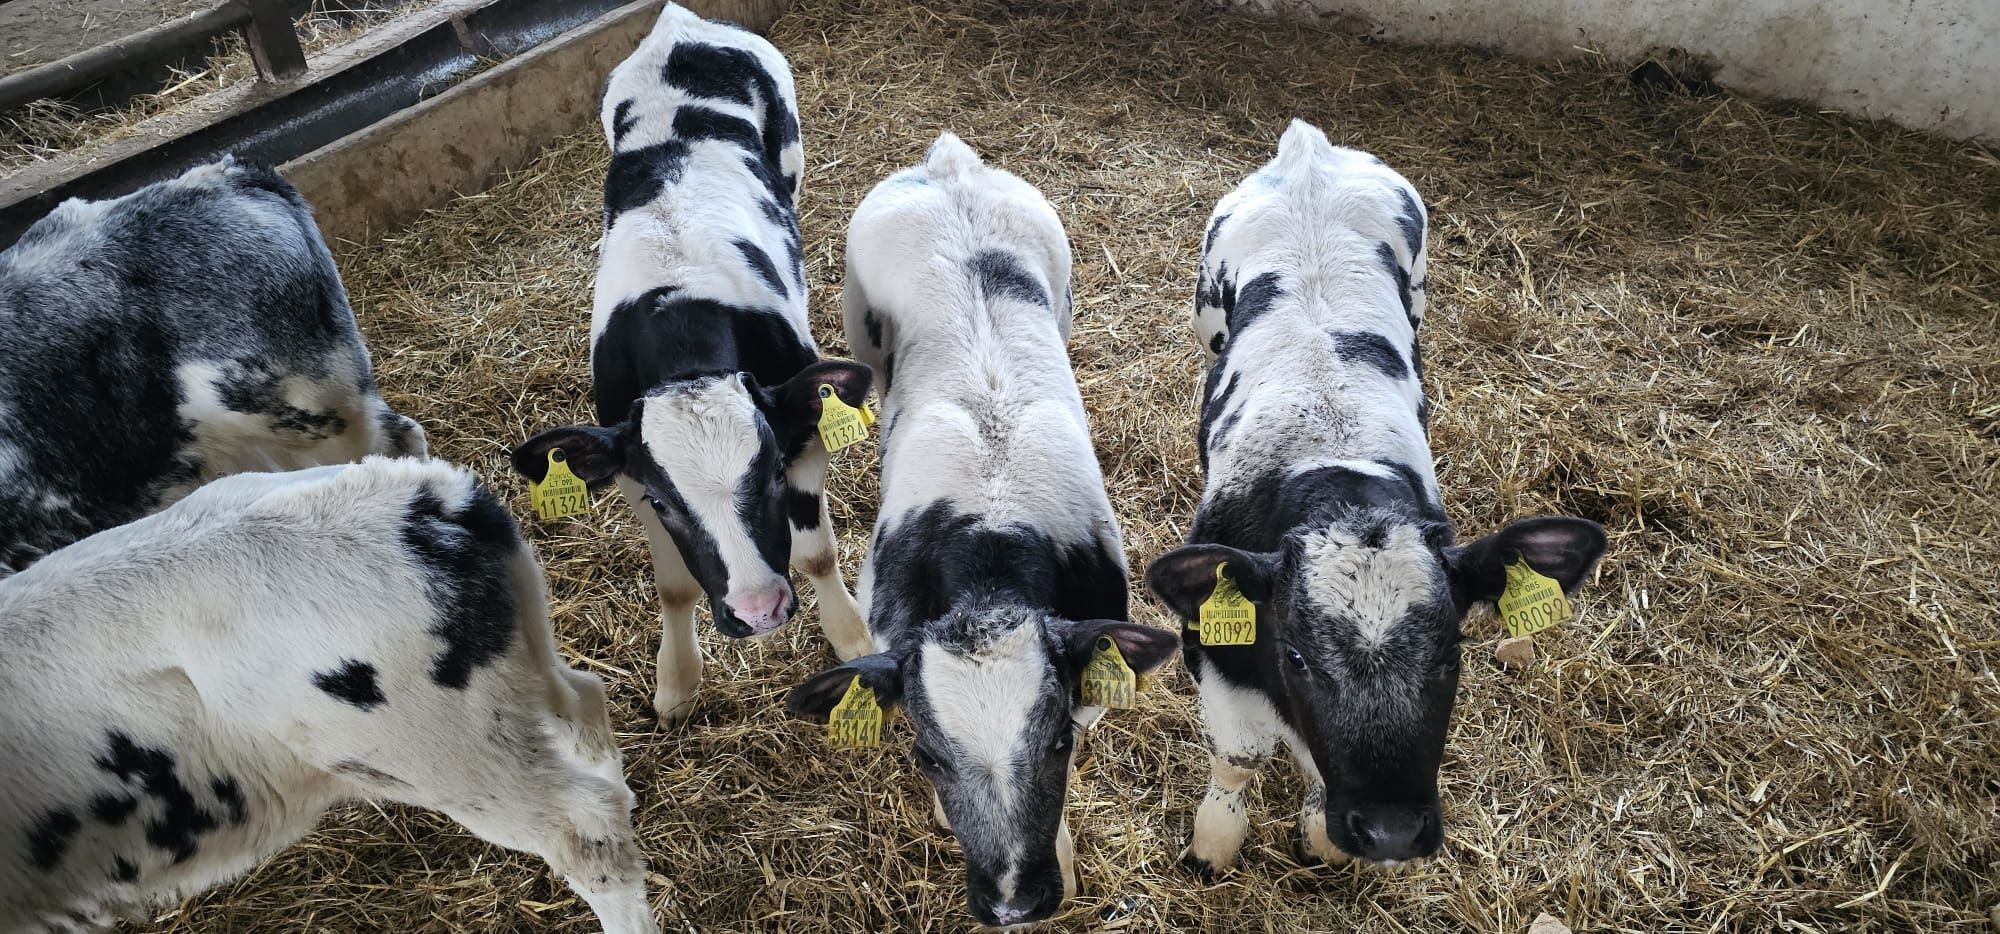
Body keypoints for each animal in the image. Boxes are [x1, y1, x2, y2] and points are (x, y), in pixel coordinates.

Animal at [512, 1, 872, 724]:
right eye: (664, 500)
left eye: (770, 473)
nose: (758, 611)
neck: (680, 315)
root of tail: (678, 23)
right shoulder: (629, 472)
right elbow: (673, 588)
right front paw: (677, 679)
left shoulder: (804, 434)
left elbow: (817, 555)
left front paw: (849, 633)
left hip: (791, 156)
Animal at [788, 135, 1176, 932]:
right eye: (927, 757)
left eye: (1057, 741)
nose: (1013, 902)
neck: (992, 534)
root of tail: (950, 164)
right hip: (859, 334)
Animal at [1152, 120, 1600, 872]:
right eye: (1297, 656)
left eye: (1452, 653)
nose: (1391, 831)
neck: (1339, 472)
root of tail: (1309, 149)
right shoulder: (1211, 650)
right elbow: (1240, 758)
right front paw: (1214, 841)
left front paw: (1317, 836)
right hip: (1206, 314)